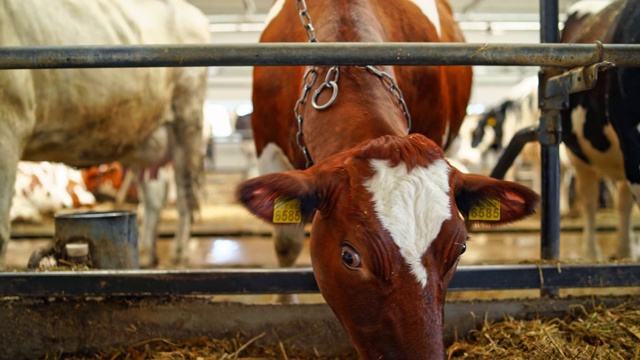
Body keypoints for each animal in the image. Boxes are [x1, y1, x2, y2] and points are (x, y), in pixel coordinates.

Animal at [0, 0, 210, 268]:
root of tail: (194, 13)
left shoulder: (10, 123)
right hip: (143, 134)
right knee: (154, 197)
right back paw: (146, 254)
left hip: (187, 116)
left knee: (186, 195)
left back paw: (178, 255)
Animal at [560, 0, 640, 260]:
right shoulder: (632, 138)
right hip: (578, 155)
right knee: (589, 198)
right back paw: (590, 254)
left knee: (623, 201)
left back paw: (625, 251)